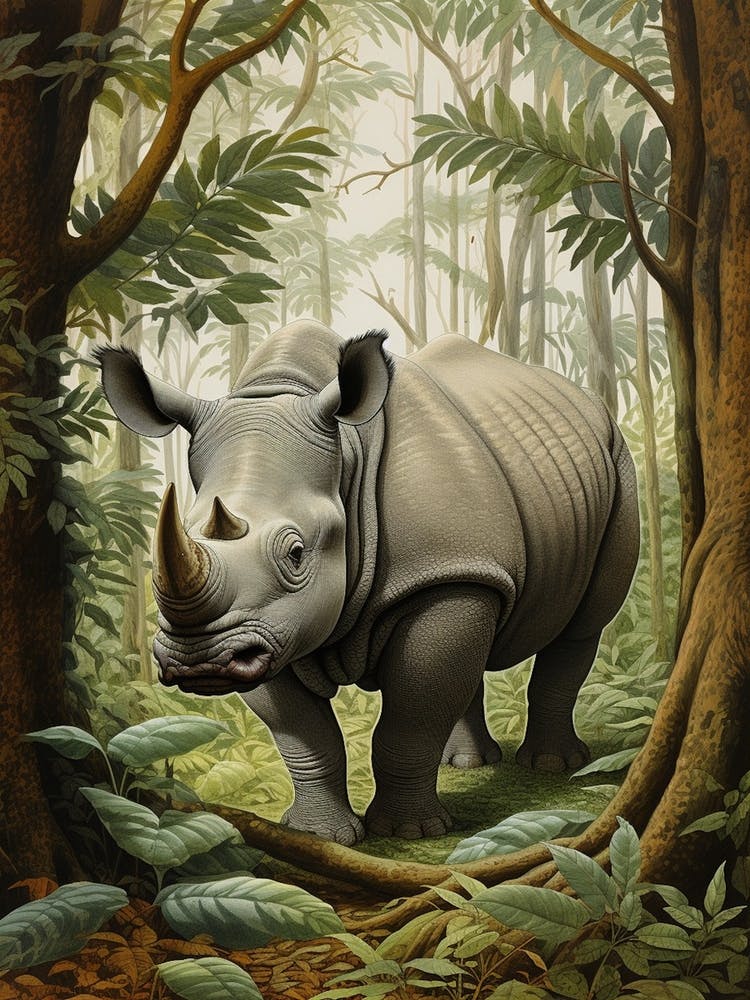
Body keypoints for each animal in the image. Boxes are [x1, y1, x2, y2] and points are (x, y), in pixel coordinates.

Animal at [99, 321, 639, 844]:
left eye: (296, 553)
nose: (199, 661)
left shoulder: (437, 570)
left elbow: (413, 714)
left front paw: (410, 833)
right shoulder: (264, 626)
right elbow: (303, 733)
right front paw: (321, 834)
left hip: (613, 463)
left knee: (581, 626)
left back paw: (549, 765)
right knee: (478, 631)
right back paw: (468, 764)